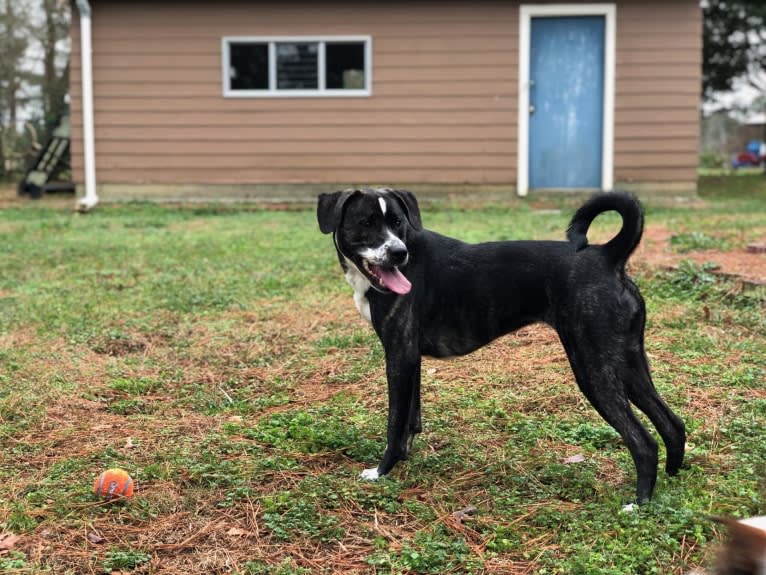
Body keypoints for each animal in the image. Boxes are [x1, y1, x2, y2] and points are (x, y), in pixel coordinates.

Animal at [316, 189, 688, 504]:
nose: (398, 253)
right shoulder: (411, 359)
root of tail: (608, 255)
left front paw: (382, 471)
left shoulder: (398, 356)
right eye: (366, 223)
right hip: (628, 362)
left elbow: (395, 422)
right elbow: (411, 418)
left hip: (593, 369)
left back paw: (638, 504)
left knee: (643, 441)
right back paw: (671, 480)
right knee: (672, 424)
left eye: (397, 223)